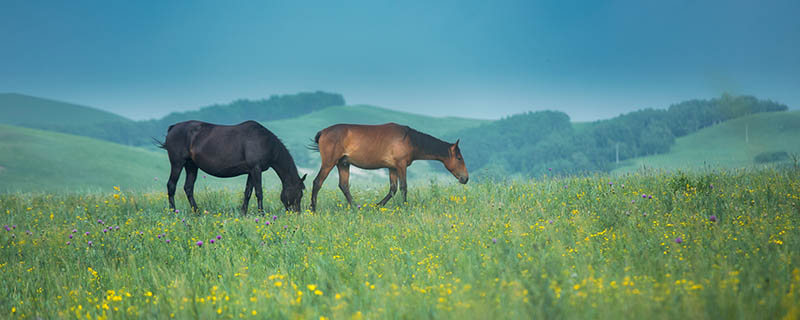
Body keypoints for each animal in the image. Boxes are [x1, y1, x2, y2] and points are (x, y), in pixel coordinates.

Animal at [157, 121, 306, 214]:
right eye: (299, 193)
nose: (296, 214)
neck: (265, 142)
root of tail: (173, 128)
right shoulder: (256, 169)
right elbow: (259, 192)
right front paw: (262, 214)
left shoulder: (251, 171)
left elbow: (248, 193)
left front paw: (243, 213)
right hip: (177, 163)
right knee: (171, 185)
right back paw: (173, 212)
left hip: (191, 166)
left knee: (188, 188)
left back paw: (197, 212)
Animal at [308, 124, 468, 211]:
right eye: (459, 158)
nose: (465, 178)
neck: (409, 139)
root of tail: (323, 132)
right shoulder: (401, 165)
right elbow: (403, 187)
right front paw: (405, 206)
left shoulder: (392, 168)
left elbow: (393, 189)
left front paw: (377, 205)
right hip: (329, 163)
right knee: (317, 182)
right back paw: (313, 209)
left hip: (343, 164)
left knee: (344, 186)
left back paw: (356, 207)